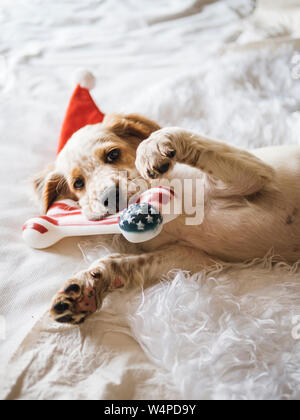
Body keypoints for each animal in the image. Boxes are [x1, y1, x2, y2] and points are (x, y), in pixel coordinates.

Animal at [33, 112, 300, 324]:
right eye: (78, 183)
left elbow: (182, 135)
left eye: (113, 154)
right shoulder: (197, 257)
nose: (111, 196)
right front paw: (88, 287)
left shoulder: (257, 175)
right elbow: (126, 262)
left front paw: (152, 147)